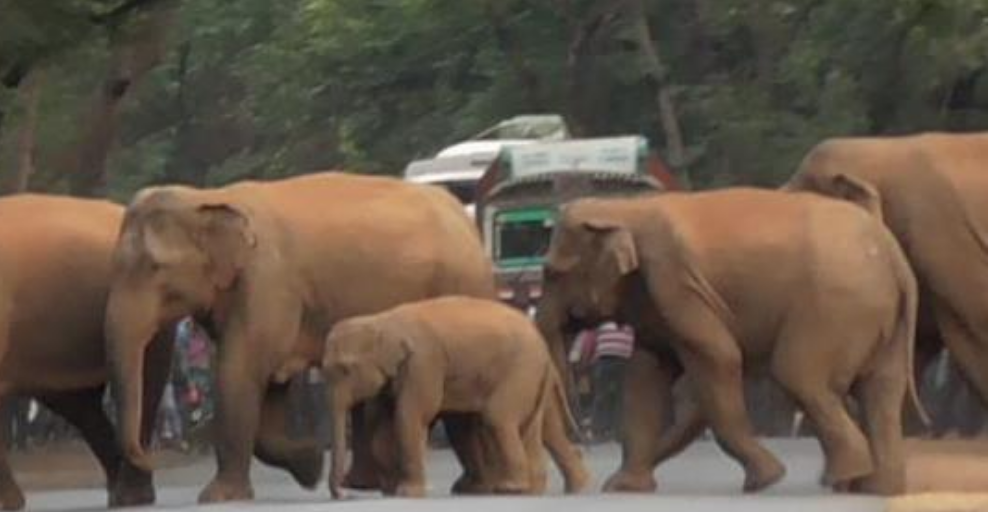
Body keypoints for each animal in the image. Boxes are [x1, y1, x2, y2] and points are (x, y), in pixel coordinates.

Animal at [104, 171, 503, 503]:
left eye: (155, 267)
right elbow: (269, 384)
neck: (208, 198)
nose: (154, 458)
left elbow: (241, 371)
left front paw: (218, 497)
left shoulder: (268, 284)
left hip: (461, 284)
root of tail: (467, 222)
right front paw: (310, 465)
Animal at [323, 296, 583, 498]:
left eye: (345, 369)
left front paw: (406, 493)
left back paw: (512, 488)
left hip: (521, 369)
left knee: (497, 417)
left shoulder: (424, 362)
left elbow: (410, 416)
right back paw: (534, 489)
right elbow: (379, 424)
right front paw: (390, 491)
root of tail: (543, 346)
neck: (381, 319)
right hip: (530, 376)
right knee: (528, 428)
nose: (342, 494)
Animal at [535, 188, 925, 495]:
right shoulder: (654, 296)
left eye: (551, 272)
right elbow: (646, 376)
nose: (584, 446)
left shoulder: (673, 281)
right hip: (877, 317)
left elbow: (720, 358)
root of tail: (894, 256)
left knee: (798, 376)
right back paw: (878, 487)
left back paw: (842, 477)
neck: (624, 209)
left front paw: (766, 480)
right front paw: (622, 487)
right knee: (881, 391)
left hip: (833, 307)